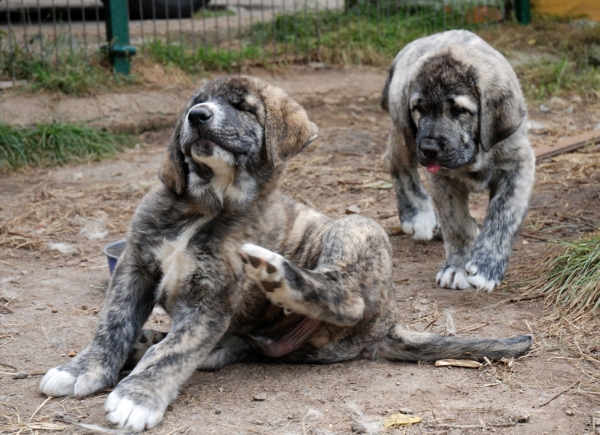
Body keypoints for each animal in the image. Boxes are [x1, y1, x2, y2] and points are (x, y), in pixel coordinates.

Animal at [39, 76, 532, 432]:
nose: (198, 117)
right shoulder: (135, 266)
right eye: (196, 103)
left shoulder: (211, 298)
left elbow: (175, 350)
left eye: (243, 107)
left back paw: (276, 272)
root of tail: (390, 321)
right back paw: (165, 341)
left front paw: (136, 398)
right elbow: (112, 323)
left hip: (356, 230)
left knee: (346, 297)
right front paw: (82, 369)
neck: (206, 203)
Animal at [382, 29, 536, 292]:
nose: (429, 148)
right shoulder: (441, 178)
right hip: (404, 131)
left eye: (458, 110)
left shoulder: (519, 165)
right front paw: (457, 267)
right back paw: (417, 214)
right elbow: (456, 222)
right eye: (419, 108)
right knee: (398, 164)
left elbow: (503, 216)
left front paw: (486, 267)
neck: (477, 155)